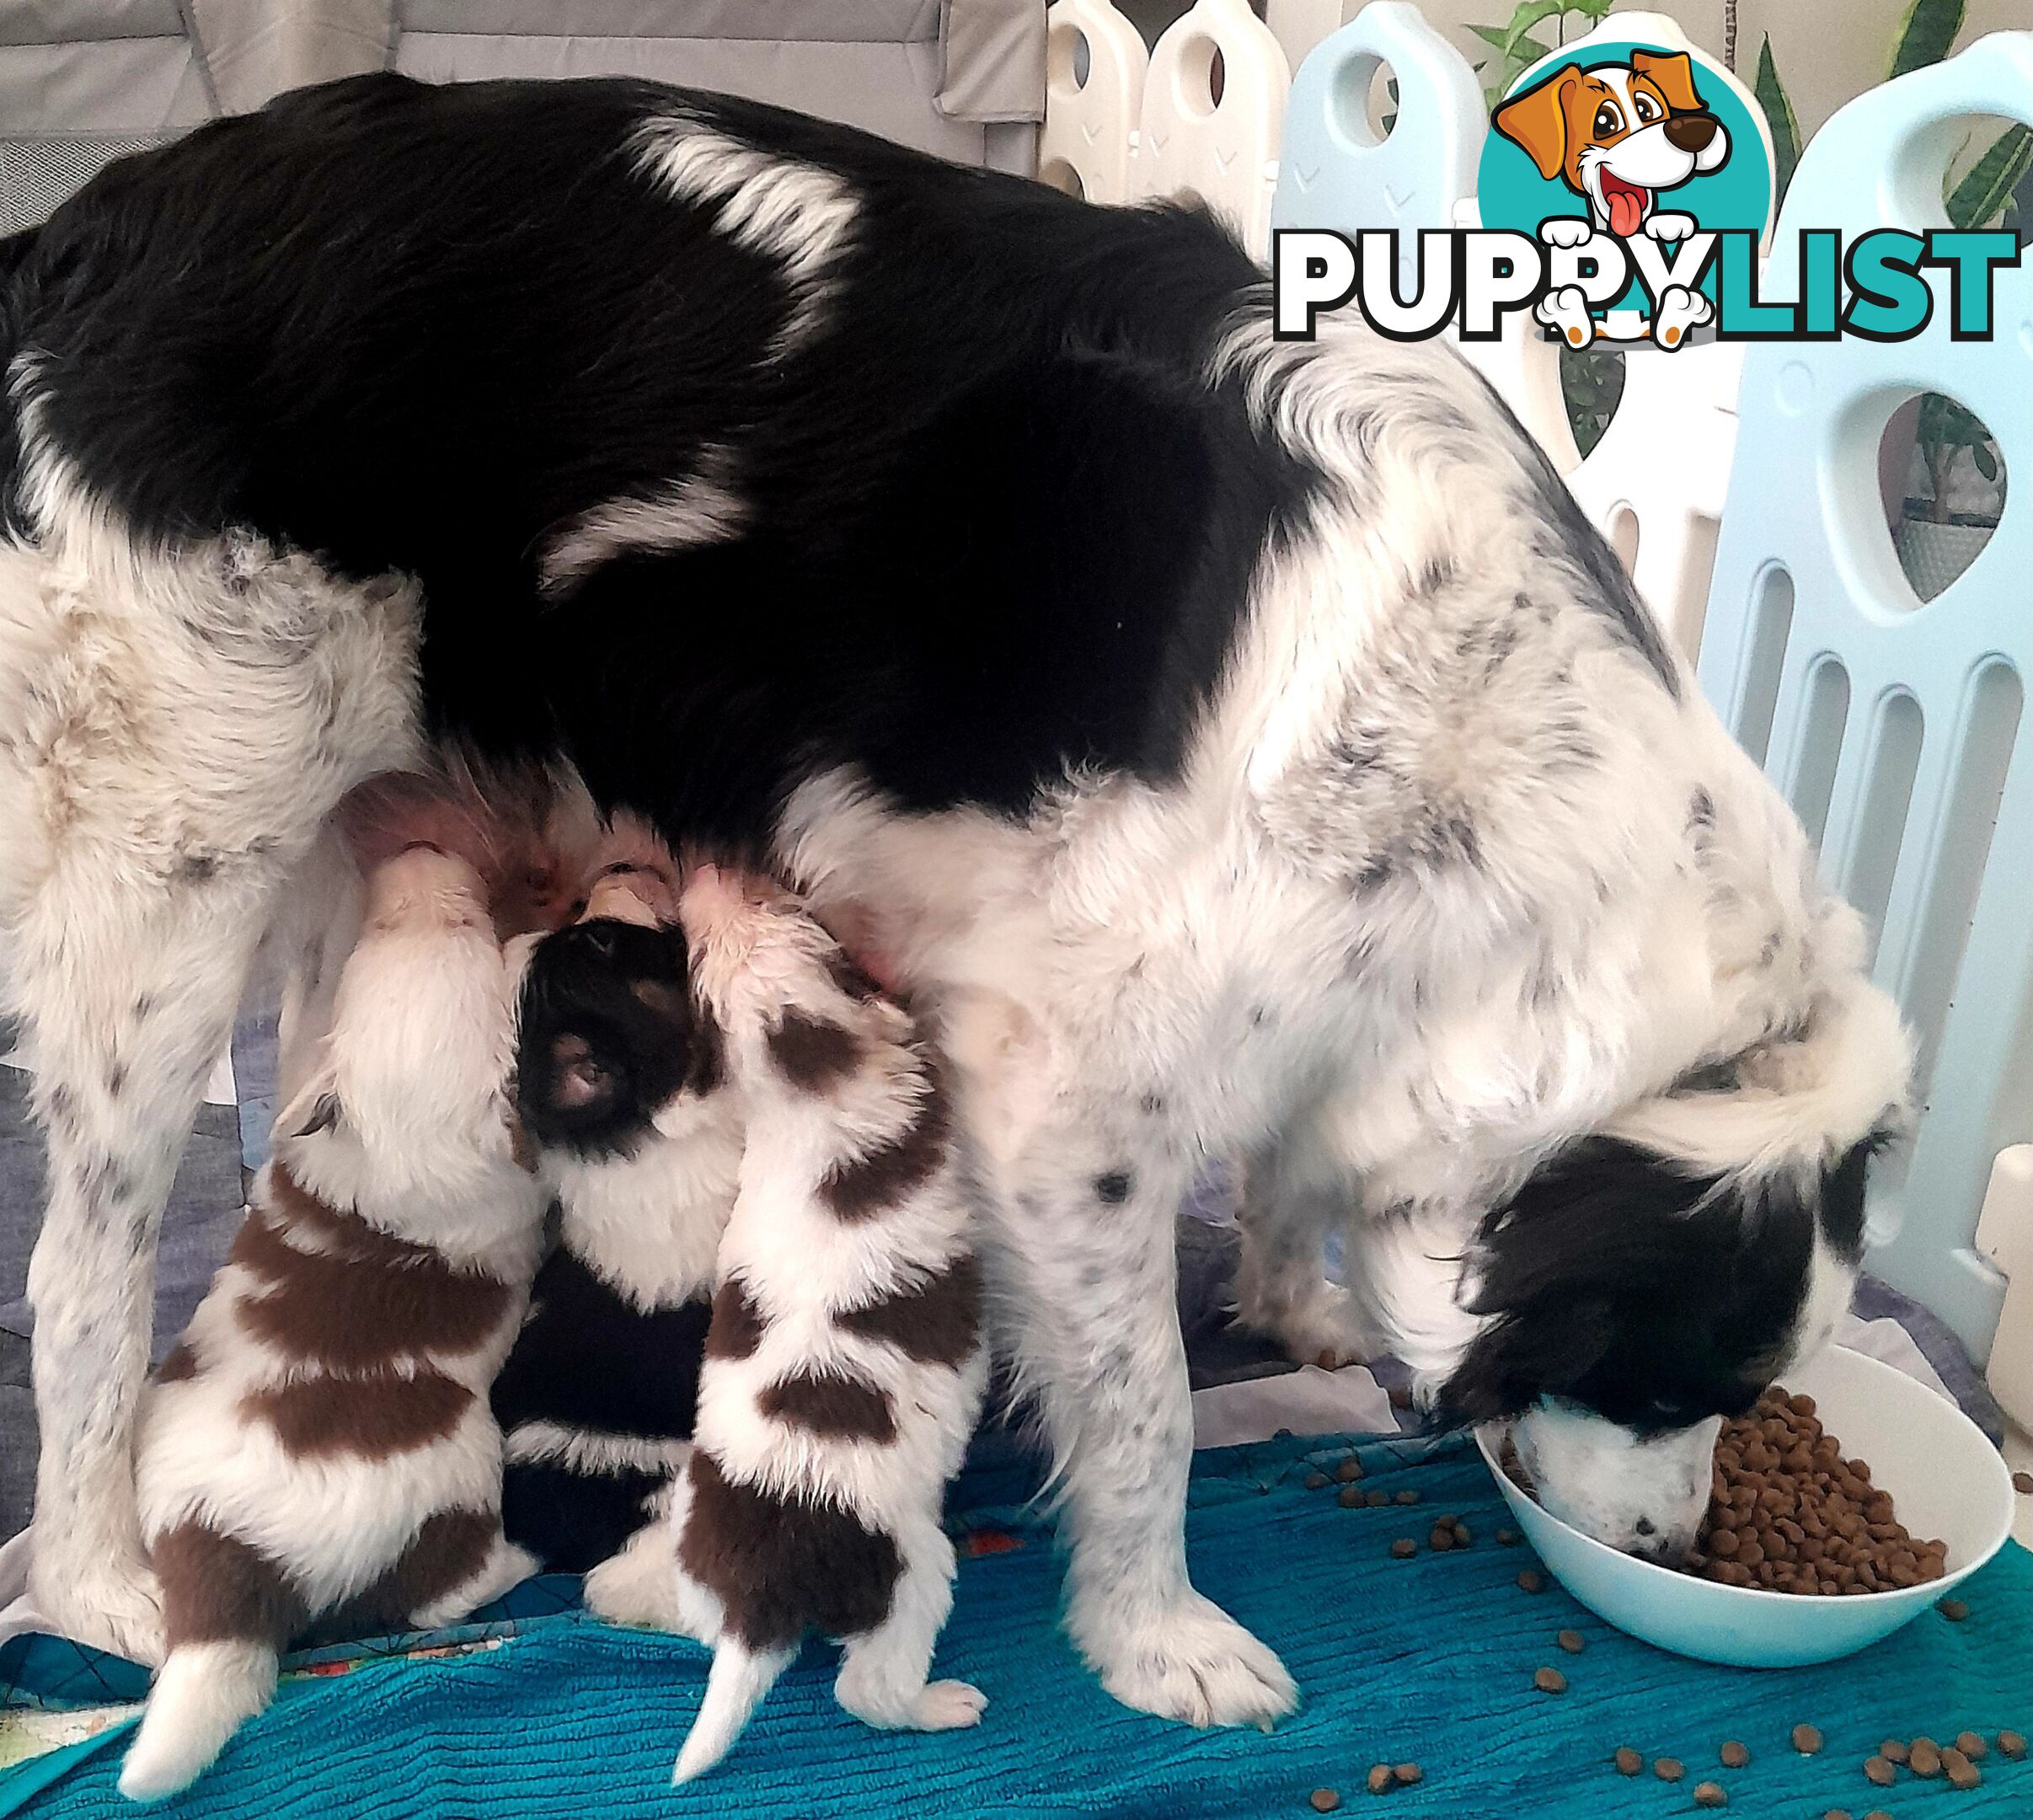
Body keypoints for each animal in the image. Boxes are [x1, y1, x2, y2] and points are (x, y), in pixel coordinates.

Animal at [117, 789, 548, 1797]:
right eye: (460, 927)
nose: (421, 845)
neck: (401, 1145)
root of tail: (235, 1566)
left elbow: (303, 1035)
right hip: (457, 1484)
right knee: (442, 1592)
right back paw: (521, 1563)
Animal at [593, 866, 987, 1781]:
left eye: (695, 965)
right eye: (796, 907)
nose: (707, 876)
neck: (806, 1093)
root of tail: (754, 1611)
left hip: (697, 1541)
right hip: (909, 1571)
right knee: (867, 1691)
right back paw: (942, 1704)